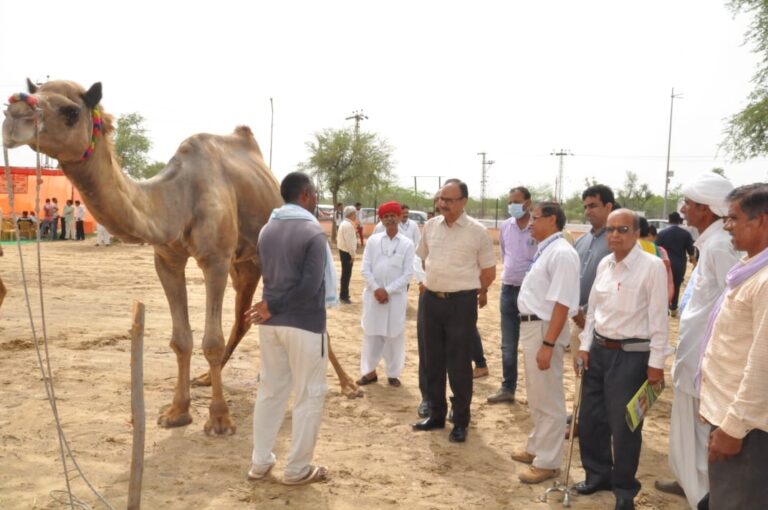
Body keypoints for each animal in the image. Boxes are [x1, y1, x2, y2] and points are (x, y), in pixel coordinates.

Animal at [1, 79, 362, 434]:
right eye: (33, 93)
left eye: (71, 112)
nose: (14, 115)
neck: (178, 198)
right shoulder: (167, 260)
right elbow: (181, 339)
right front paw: (177, 411)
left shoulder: (215, 259)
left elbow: (211, 340)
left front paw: (219, 419)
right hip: (244, 265)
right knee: (244, 316)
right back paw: (207, 378)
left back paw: (348, 385)